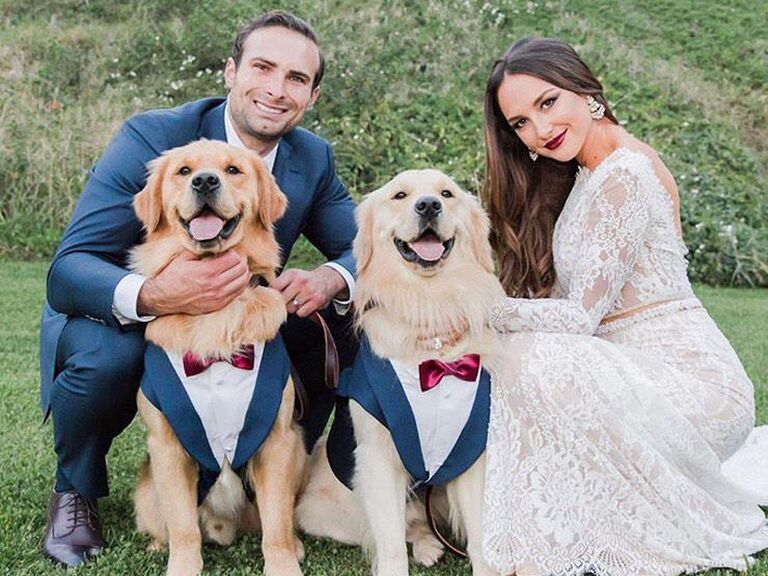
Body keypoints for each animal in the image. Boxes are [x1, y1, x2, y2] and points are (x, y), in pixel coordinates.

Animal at [130, 140, 306, 576]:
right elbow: (183, 527)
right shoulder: (167, 444)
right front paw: (182, 566)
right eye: (183, 170)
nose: (205, 181)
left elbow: (276, 524)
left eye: (232, 170)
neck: (216, 314)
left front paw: (283, 563)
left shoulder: (277, 439)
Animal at [296, 170, 504, 576]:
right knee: (407, 526)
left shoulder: (470, 453)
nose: (428, 206)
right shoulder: (378, 459)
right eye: (400, 195)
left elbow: (481, 542)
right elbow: (391, 546)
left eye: (446, 193)